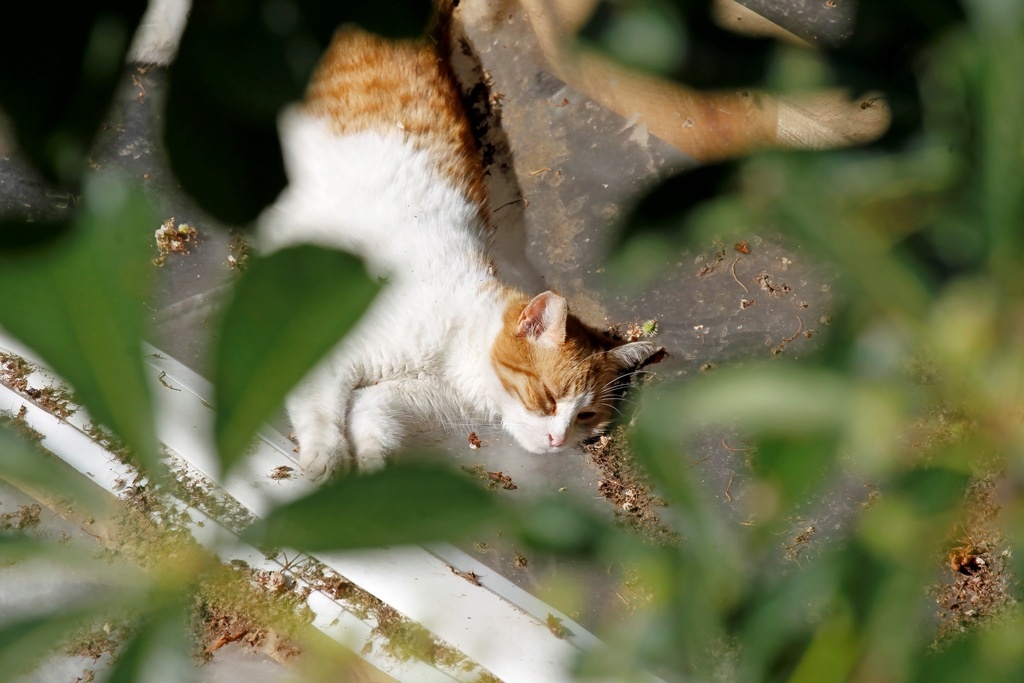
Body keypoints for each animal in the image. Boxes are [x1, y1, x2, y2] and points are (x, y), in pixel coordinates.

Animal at [130, 0, 663, 481]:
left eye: (586, 417)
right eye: (549, 398)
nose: (557, 441)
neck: (456, 344)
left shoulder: (405, 391)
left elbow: (371, 411)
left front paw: (371, 460)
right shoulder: (325, 342)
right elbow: (321, 410)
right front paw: (327, 460)